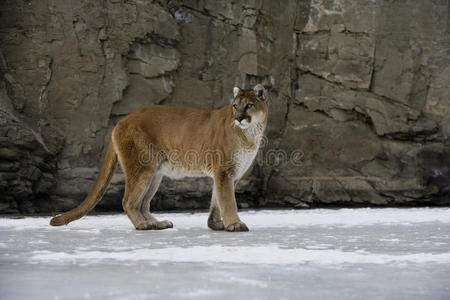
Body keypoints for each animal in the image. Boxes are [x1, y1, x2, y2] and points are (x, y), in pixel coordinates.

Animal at [50, 84, 268, 232]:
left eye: (249, 105)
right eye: (235, 106)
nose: (239, 118)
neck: (251, 134)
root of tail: (121, 120)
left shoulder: (228, 174)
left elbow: (217, 199)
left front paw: (216, 224)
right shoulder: (224, 170)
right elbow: (228, 200)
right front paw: (235, 224)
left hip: (155, 173)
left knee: (142, 203)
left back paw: (157, 223)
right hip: (142, 167)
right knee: (128, 201)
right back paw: (143, 225)